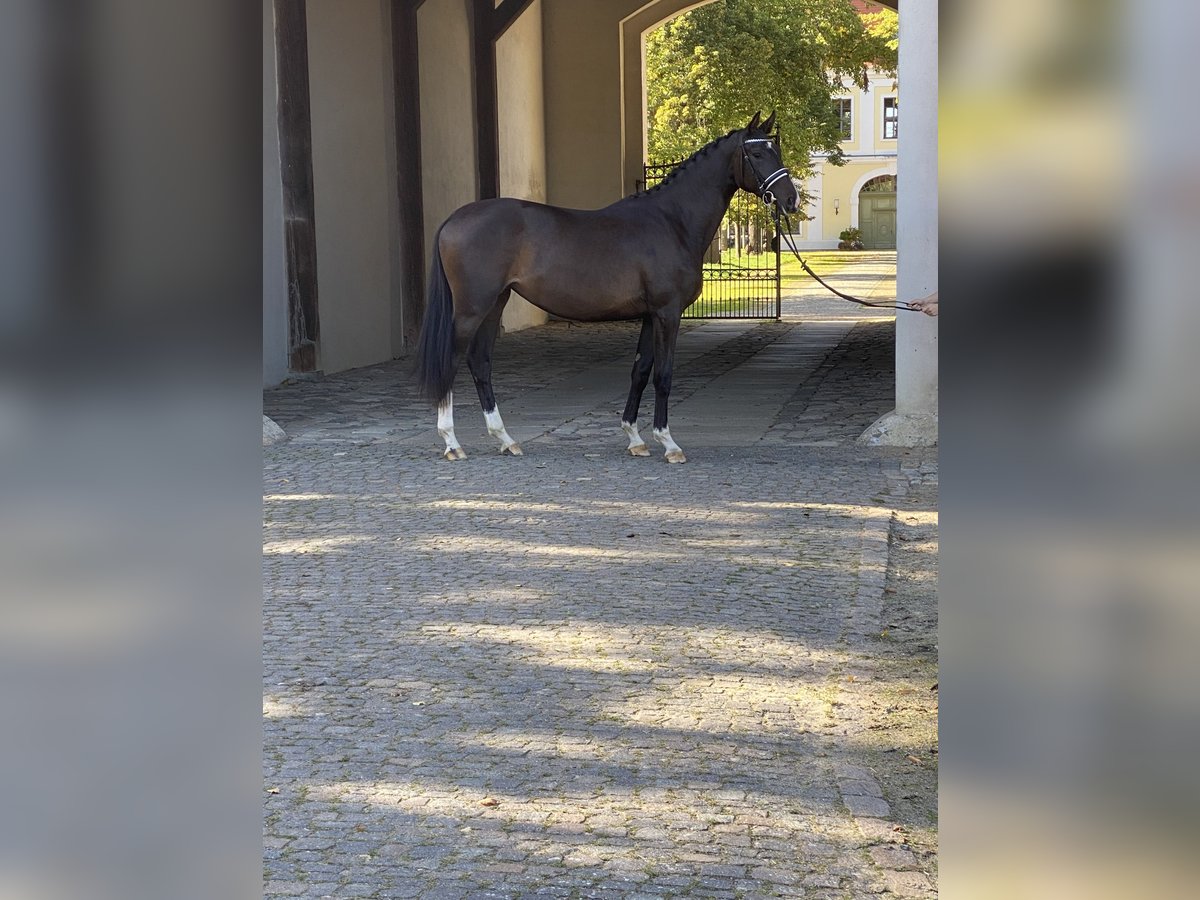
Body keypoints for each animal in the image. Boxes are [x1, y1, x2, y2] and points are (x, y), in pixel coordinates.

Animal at [412, 111, 796, 465]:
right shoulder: (668, 313)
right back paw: (452, 443)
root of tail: (454, 219)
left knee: (480, 362)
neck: (672, 221)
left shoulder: (649, 316)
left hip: (495, 303)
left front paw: (635, 438)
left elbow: (640, 371)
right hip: (472, 309)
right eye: (757, 153)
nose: (790, 200)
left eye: (775, 149)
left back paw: (506, 439)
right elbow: (664, 375)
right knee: (453, 360)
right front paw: (668, 443)